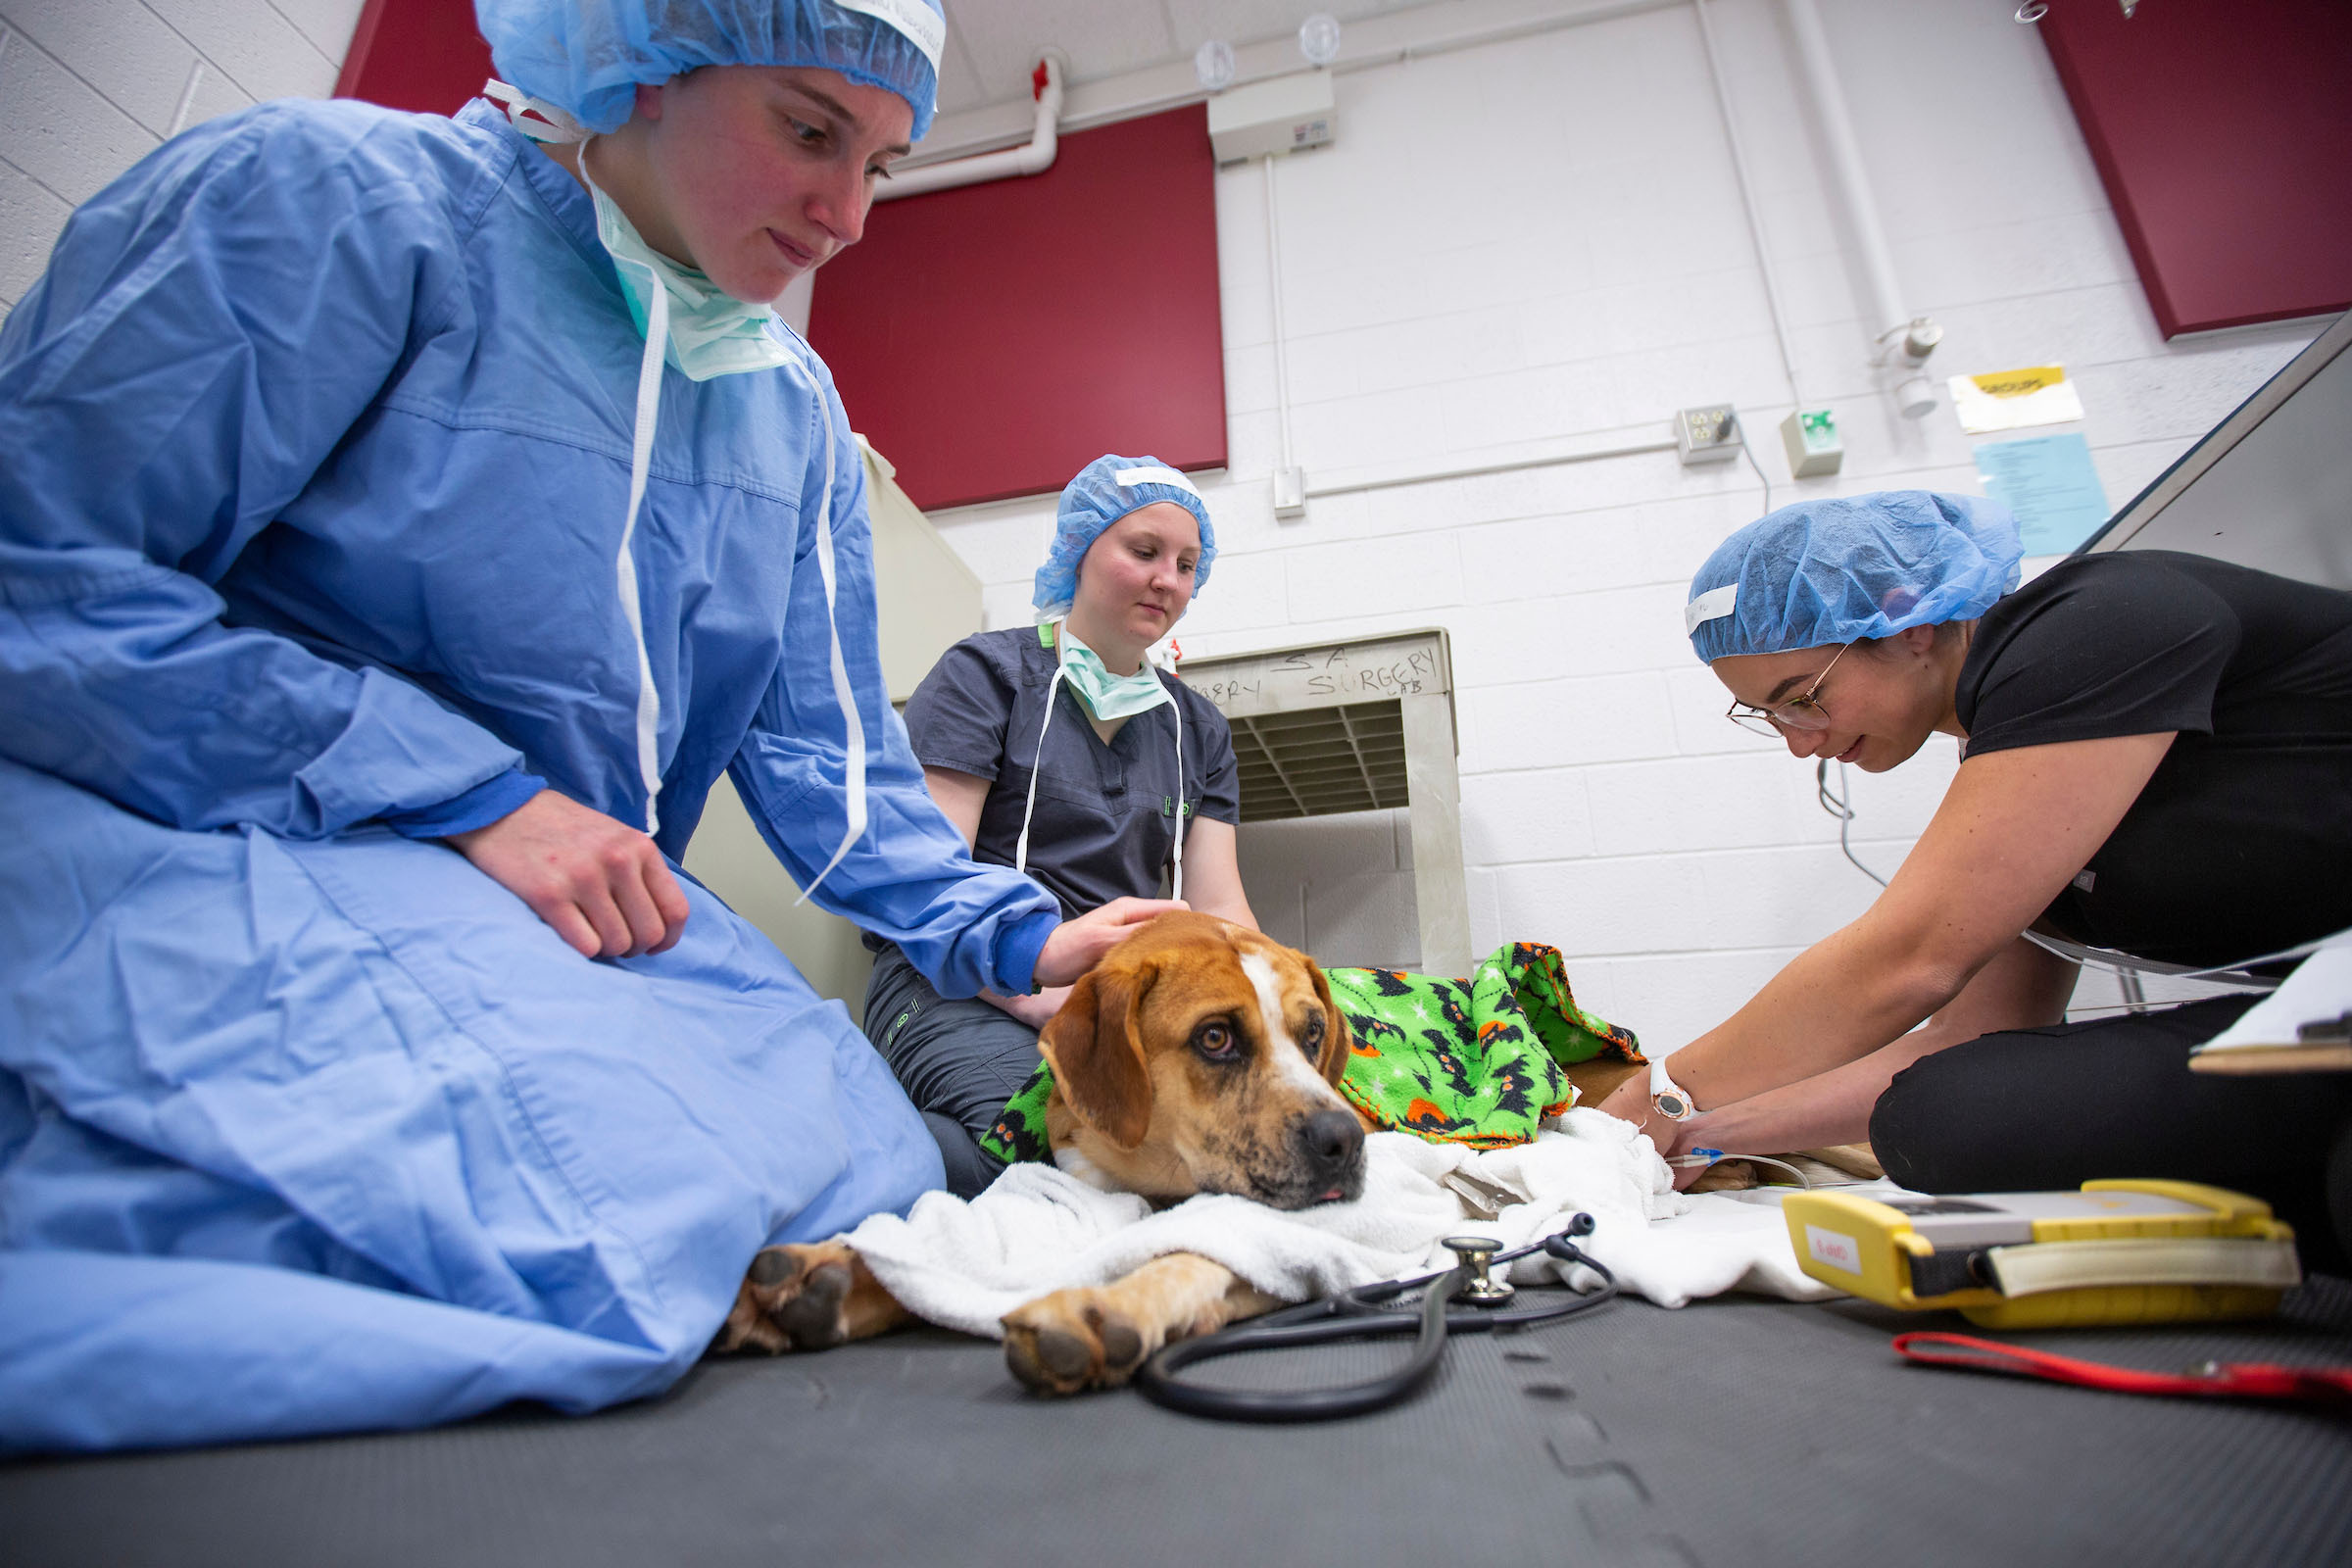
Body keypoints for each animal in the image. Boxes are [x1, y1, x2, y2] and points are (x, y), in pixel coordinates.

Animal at [724, 906, 1373, 1400]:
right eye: (1215, 1037)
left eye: (1313, 1032)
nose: (1344, 1140)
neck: (1148, 1180)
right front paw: (828, 1277)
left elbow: (1197, 1253)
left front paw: (1107, 1308)